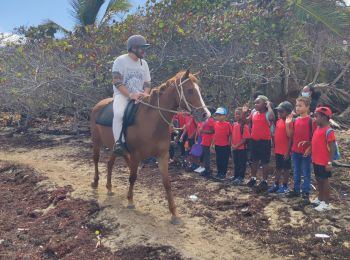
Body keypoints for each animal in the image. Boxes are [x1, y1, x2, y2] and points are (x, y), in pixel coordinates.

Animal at [91, 69, 211, 223]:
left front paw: (174, 213)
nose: (205, 114)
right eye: (190, 90)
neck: (152, 121)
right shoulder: (136, 155)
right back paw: (95, 182)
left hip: (114, 147)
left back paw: (109, 187)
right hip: (96, 141)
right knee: (95, 159)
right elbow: (133, 177)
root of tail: (98, 105)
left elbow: (167, 183)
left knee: (110, 163)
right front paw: (130, 200)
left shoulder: (163, 155)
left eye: (198, 90)